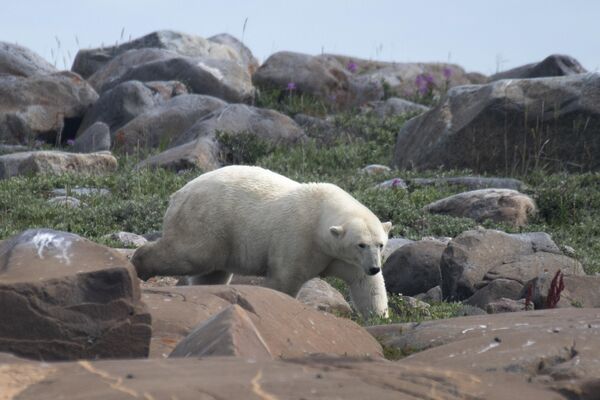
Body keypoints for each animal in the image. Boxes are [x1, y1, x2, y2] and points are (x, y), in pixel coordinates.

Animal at [133, 165, 392, 316]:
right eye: (360, 244)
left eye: (380, 244)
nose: (374, 267)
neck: (320, 213)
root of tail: (178, 194)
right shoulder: (299, 237)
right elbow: (285, 279)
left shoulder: (342, 258)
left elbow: (366, 285)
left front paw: (378, 317)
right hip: (208, 221)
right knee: (190, 255)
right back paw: (140, 264)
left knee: (212, 272)